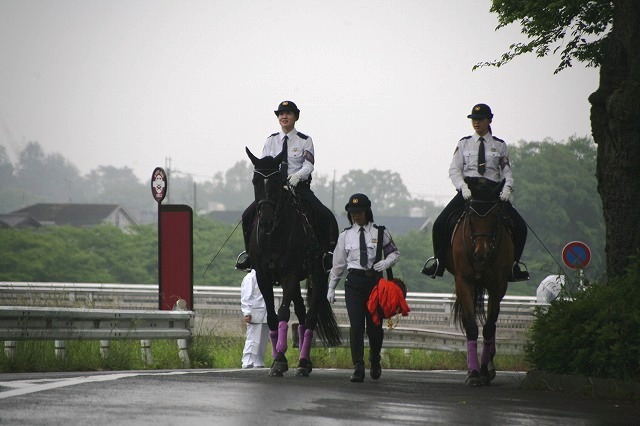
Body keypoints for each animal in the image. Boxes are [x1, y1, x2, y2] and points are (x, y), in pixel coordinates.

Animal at [245, 143, 342, 376]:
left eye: (277, 181)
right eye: (255, 181)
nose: (266, 221)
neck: (274, 235)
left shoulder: (289, 274)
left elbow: (282, 313)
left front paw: (280, 359)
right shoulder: (263, 275)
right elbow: (272, 316)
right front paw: (277, 359)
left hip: (318, 275)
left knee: (311, 317)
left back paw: (304, 363)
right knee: (301, 311)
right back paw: (302, 361)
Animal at [444, 179, 516, 386]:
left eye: (495, 214)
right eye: (471, 215)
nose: (481, 254)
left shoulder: (498, 285)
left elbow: (489, 327)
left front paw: (484, 370)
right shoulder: (463, 281)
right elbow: (472, 326)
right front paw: (474, 373)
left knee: (492, 324)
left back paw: (489, 366)